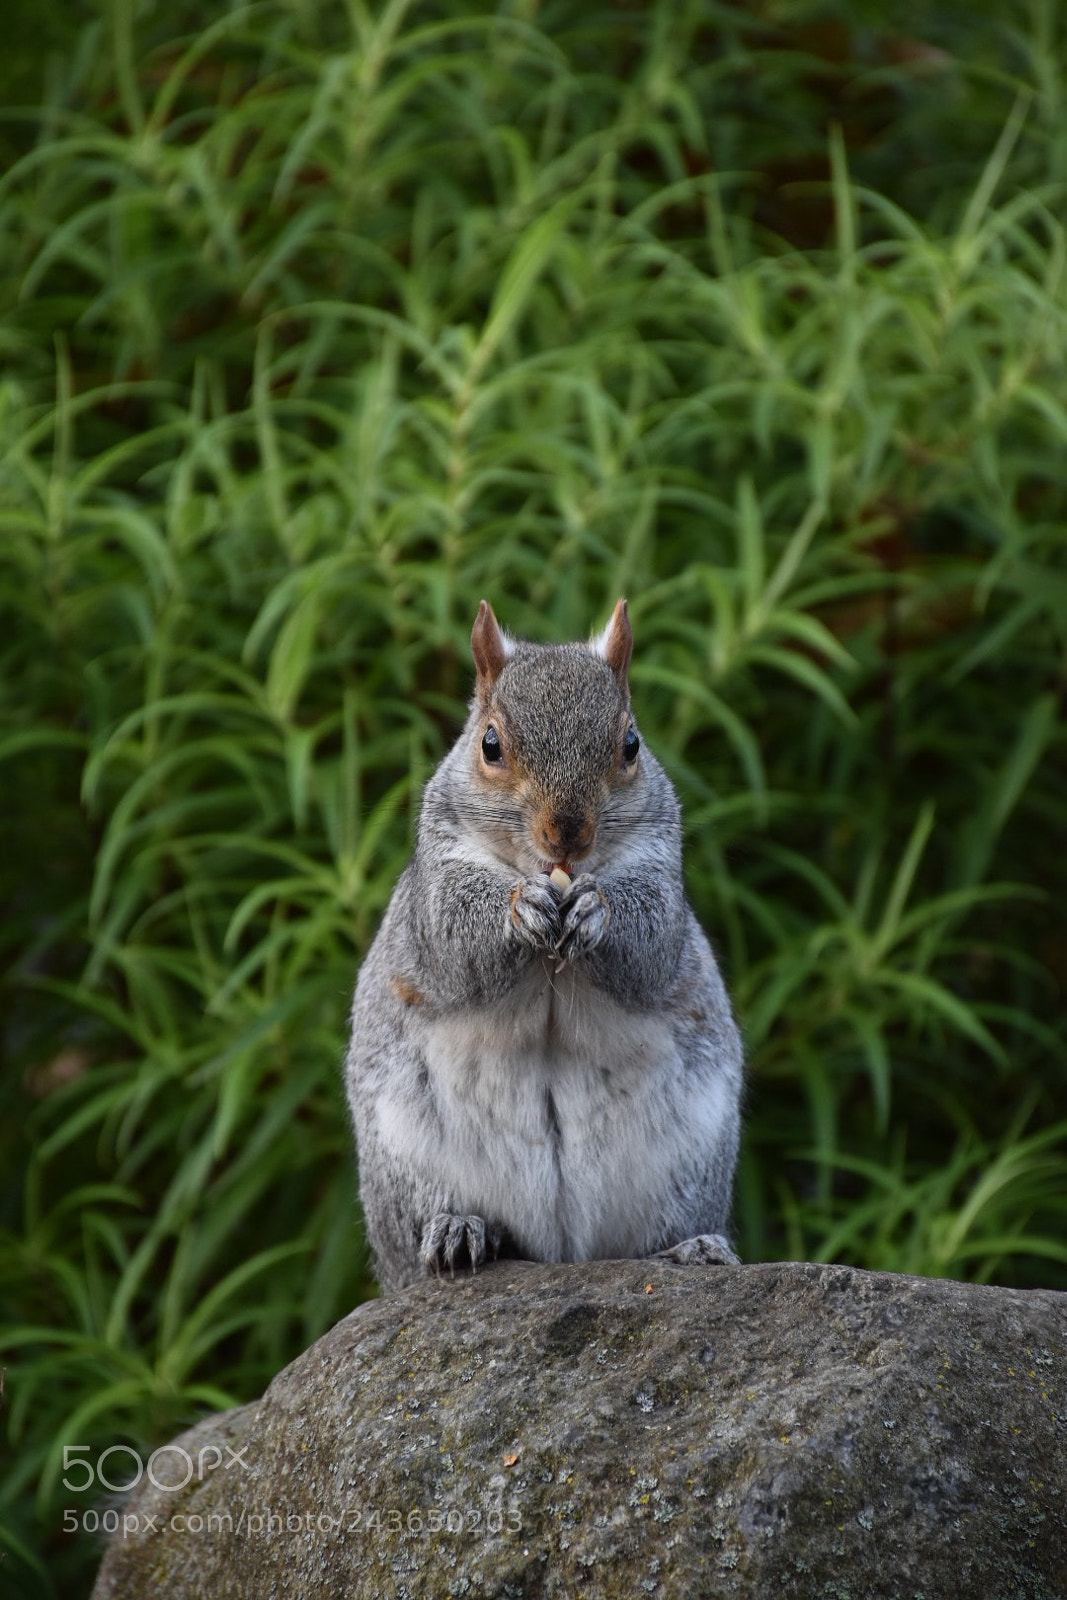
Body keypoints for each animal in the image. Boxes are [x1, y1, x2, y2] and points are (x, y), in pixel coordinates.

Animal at [345, 599, 743, 1291]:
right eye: (490, 744)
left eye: (631, 745)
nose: (568, 834)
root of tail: (561, 1254)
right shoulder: (436, 880)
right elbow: (452, 933)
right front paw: (520, 908)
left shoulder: (660, 865)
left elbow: (651, 943)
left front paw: (595, 909)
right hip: (403, 1160)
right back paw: (457, 1231)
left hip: (692, 1161)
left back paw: (691, 1248)